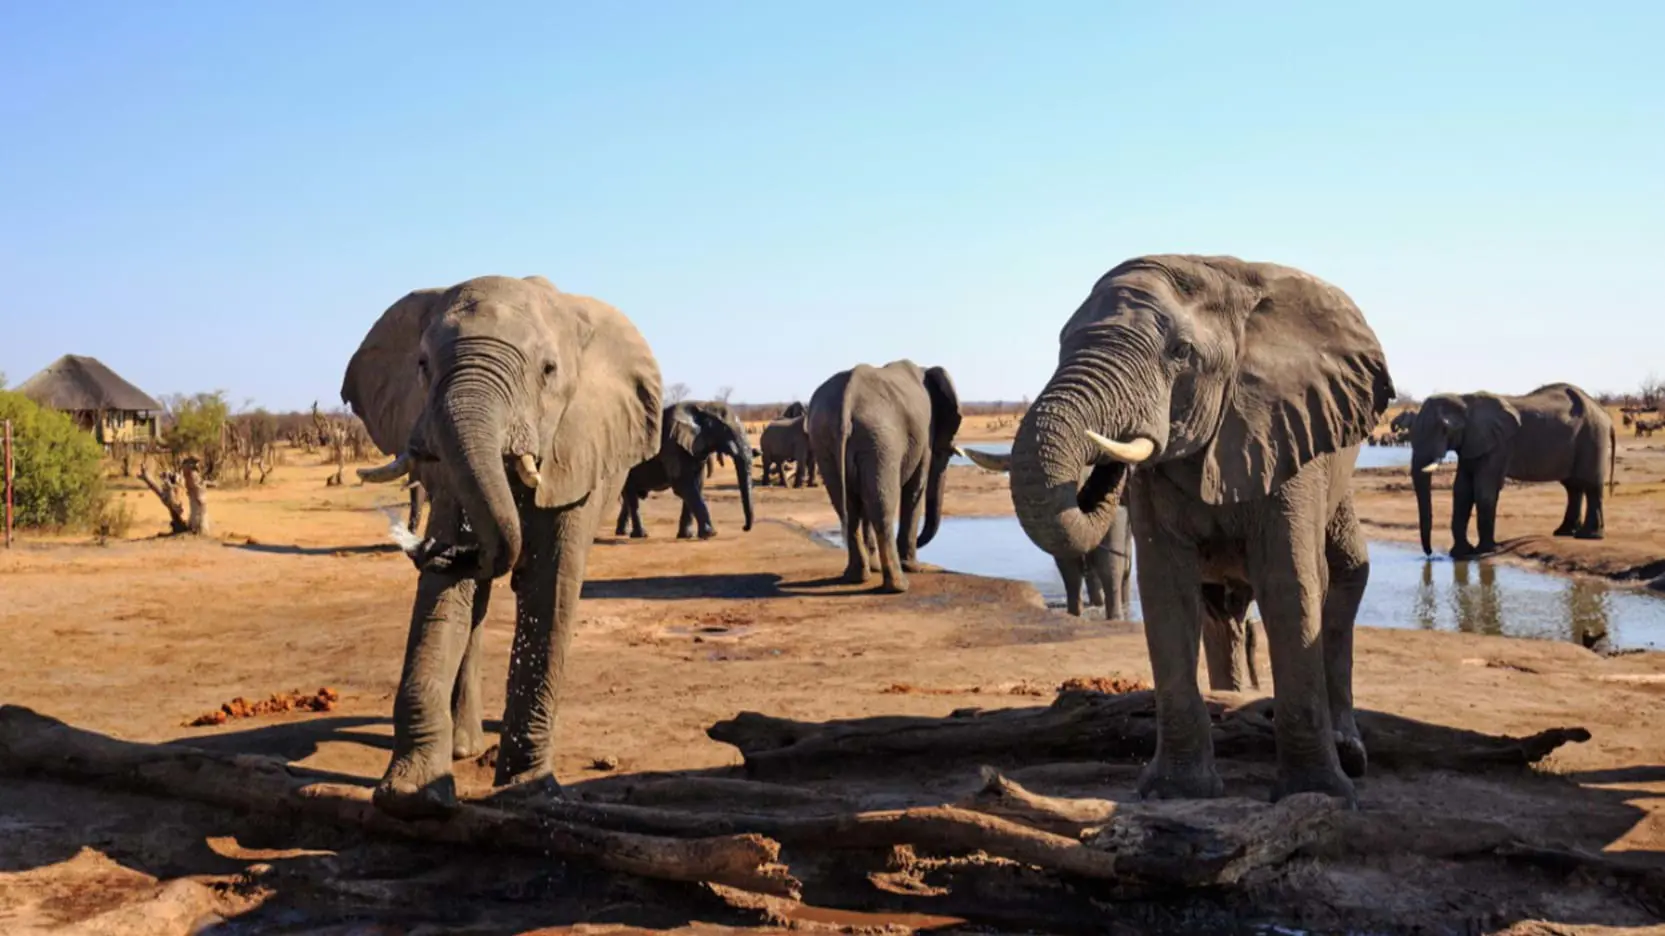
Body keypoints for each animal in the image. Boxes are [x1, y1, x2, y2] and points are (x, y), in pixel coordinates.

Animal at [340, 274, 662, 818]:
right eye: (422, 365)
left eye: (548, 371)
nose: (434, 550)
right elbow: (450, 596)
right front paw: (413, 796)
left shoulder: (576, 453)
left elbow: (548, 587)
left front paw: (527, 790)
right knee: (479, 603)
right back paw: (463, 747)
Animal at [616, 400, 755, 539]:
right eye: (726, 429)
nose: (744, 528)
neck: (702, 405)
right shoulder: (672, 445)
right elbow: (683, 485)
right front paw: (710, 534)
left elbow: (696, 485)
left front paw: (687, 536)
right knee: (631, 496)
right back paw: (640, 535)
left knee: (630, 497)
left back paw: (623, 533)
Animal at [808, 360, 961, 593]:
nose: (920, 542)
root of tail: (847, 398)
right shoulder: (924, 436)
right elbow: (915, 489)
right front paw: (913, 567)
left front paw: (875, 567)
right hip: (881, 439)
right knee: (882, 506)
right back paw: (899, 585)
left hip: (825, 439)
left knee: (847, 508)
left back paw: (857, 576)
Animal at [1007, 255, 1393, 805]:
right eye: (1060, 344)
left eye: (1181, 353)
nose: (1103, 461)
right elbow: (1169, 593)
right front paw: (1178, 792)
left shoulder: (1286, 434)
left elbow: (1290, 585)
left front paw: (1316, 795)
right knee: (1220, 609)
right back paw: (1228, 700)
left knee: (1342, 582)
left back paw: (1349, 755)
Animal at [1409, 383, 1615, 559]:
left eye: (1445, 429)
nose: (1429, 554)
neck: (1464, 400)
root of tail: (1604, 413)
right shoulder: (1471, 442)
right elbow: (1462, 490)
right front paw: (1460, 553)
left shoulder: (1499, 444)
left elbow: (1484, 489)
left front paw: (1487, 551)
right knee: (1573, 487)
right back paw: (1564, 532)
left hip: (1593, 435)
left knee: (1591, 485)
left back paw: (1588, 536)